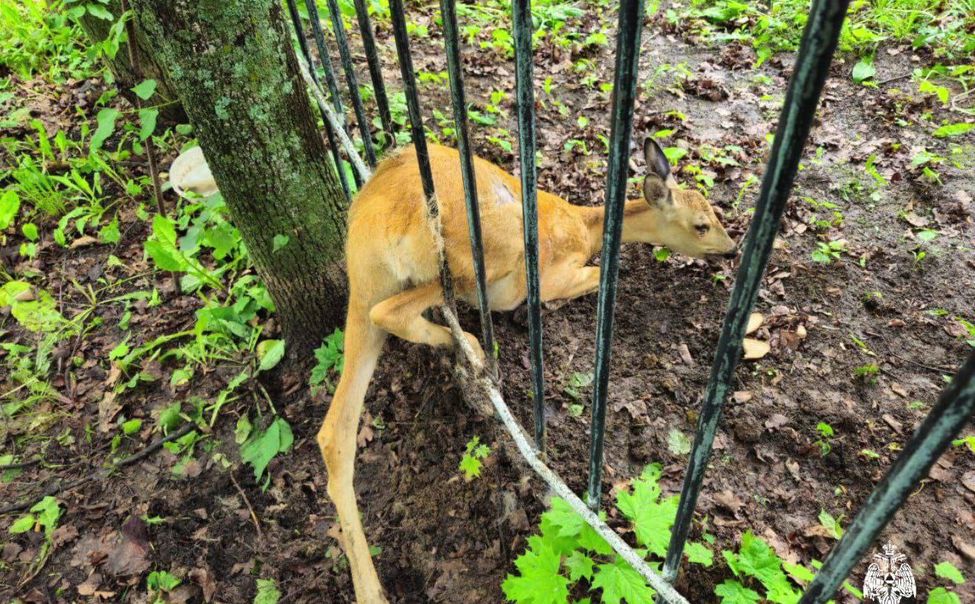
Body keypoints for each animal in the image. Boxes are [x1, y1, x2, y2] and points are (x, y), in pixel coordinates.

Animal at [320, 139, 740, 600]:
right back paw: (471, 348)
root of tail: (374, 218)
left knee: (335, 430)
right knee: (392, 312)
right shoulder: (555, 276)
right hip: (481, 254)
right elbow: (602, 275)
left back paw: (369, 588)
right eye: (702, 225)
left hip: (376, 281)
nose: (732, 249)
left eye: (715, 213)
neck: (586, 227)